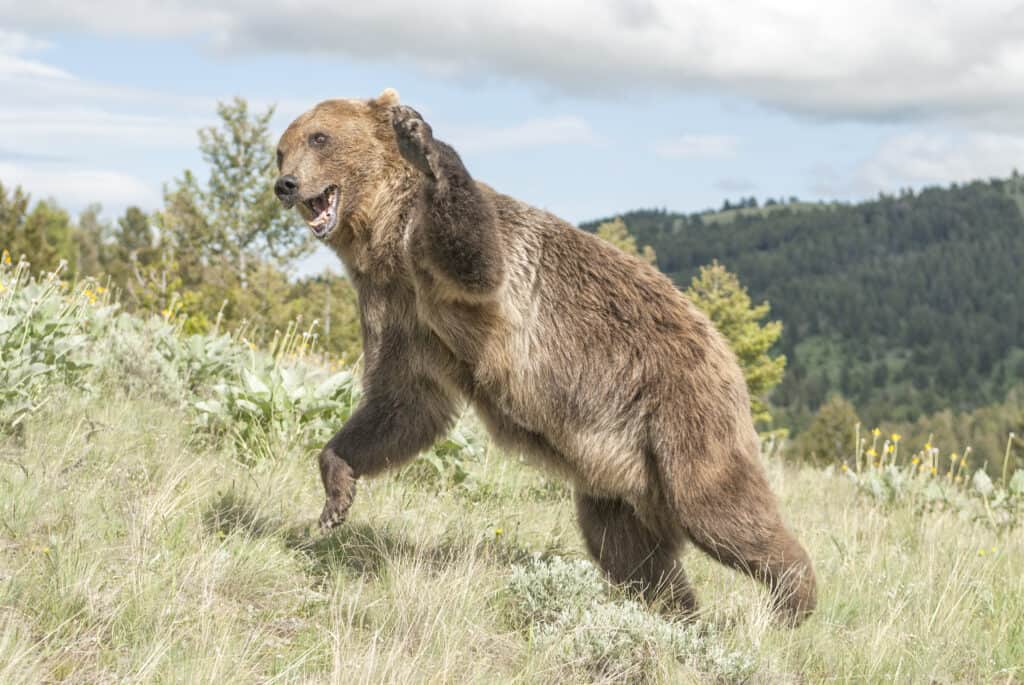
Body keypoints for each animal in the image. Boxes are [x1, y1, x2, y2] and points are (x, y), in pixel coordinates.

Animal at [273, 89, 816, 624]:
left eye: (319, 137)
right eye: (282, 148)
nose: (286, 184)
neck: (384, 238)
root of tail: (723, 347)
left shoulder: (459, 268)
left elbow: (476, 259)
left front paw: (422, 142)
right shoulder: (399, 310)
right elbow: (403, 402)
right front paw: (336, 491)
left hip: (680, 409)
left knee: (715, 507)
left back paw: (793, 597)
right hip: (620, 470)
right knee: (626, 546)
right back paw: (673, 610)